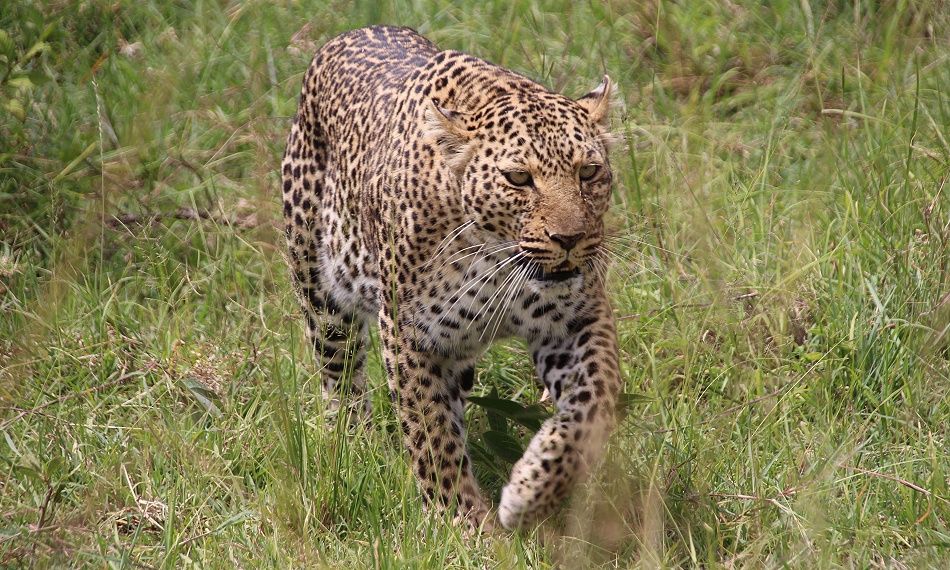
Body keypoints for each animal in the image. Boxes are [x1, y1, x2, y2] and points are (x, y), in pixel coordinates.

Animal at [281, 25, 622, 531]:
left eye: (589, 171)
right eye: (519, 178)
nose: (569, 238)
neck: (495, 257)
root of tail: (348, 33)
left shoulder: (576, 320)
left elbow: (596, 399)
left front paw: (530, 492)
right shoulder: (409, 336)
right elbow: (432, 434)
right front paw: (461, 523)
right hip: (320, 293)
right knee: (339, 376)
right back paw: (354, 443)